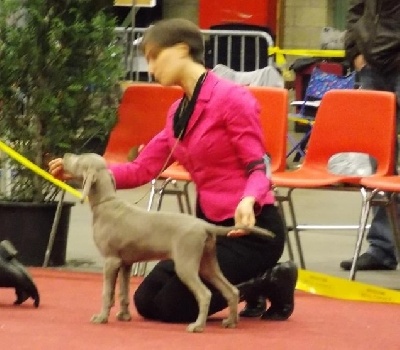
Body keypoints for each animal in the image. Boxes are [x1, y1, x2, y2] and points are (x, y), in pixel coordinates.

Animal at [63, 154, 276, 334]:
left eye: (79, 159)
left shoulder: (111, 261)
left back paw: (197, 326)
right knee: (231, 290)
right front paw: (124, 315)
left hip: (185, 265)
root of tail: (205, 225)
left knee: (205, 294)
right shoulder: (125, 263)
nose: (65, 156)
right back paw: (231, 322)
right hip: (207, 263)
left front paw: (101, 317)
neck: (107, 203)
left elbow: (106, 292)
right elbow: (123, 292)